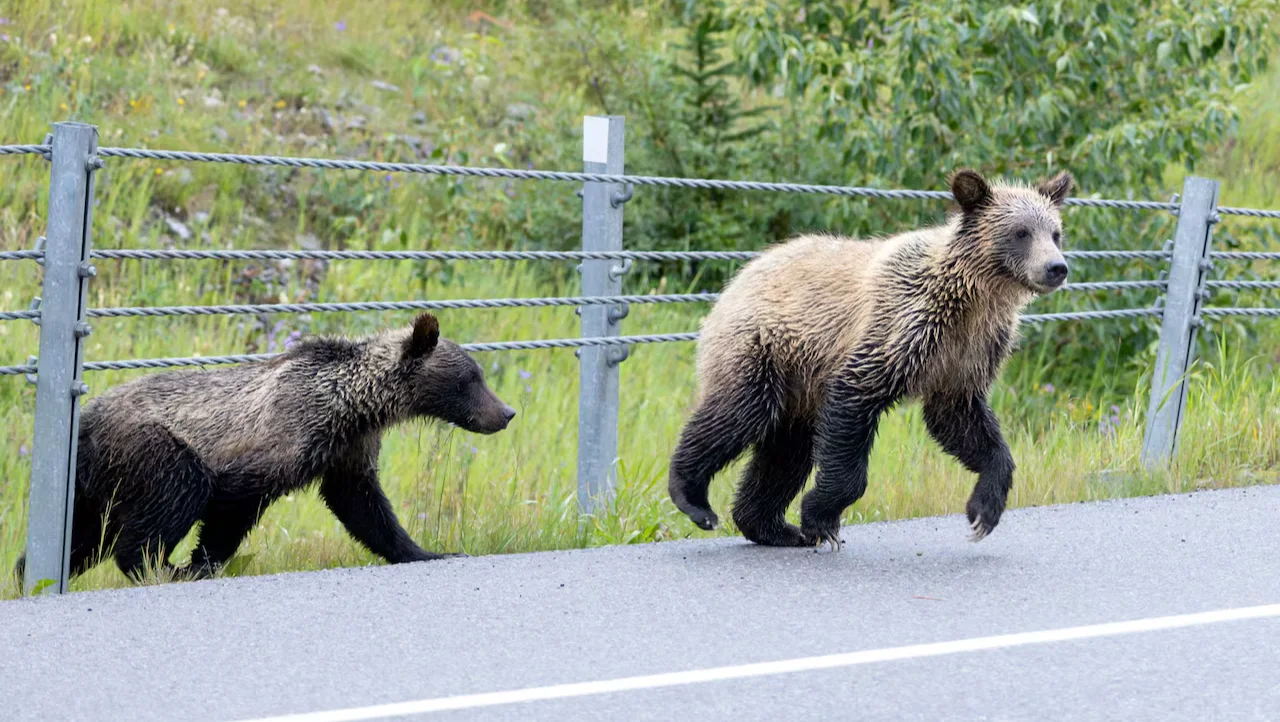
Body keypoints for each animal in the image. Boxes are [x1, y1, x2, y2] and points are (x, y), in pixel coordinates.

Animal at [14, 312, 515, 587]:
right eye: (471, 379)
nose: (507, 412)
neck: (354, 407)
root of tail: (85, 419)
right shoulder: (275, 442)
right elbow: (230, 507)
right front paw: (199, 564)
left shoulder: (346, 452)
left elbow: (366, 509)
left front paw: (429, 551)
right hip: (149, 449)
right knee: (172, 496)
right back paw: (157, 565)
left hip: (97, 482)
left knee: (83, 532)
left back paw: (28, 572)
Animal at [667, 168, 1074, 549]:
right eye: (1021, 232)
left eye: (1055, 233)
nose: (1057, 267)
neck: (973, 297)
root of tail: (738, 278)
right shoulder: (899, 329)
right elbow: (854, 406)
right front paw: (821, 519)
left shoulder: (967, 354)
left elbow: (964, 423)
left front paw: (982, 513)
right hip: (765, 347)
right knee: (739, 414)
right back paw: (694, 499)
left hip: (800, 385)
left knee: (787, 451)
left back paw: (773, 527)